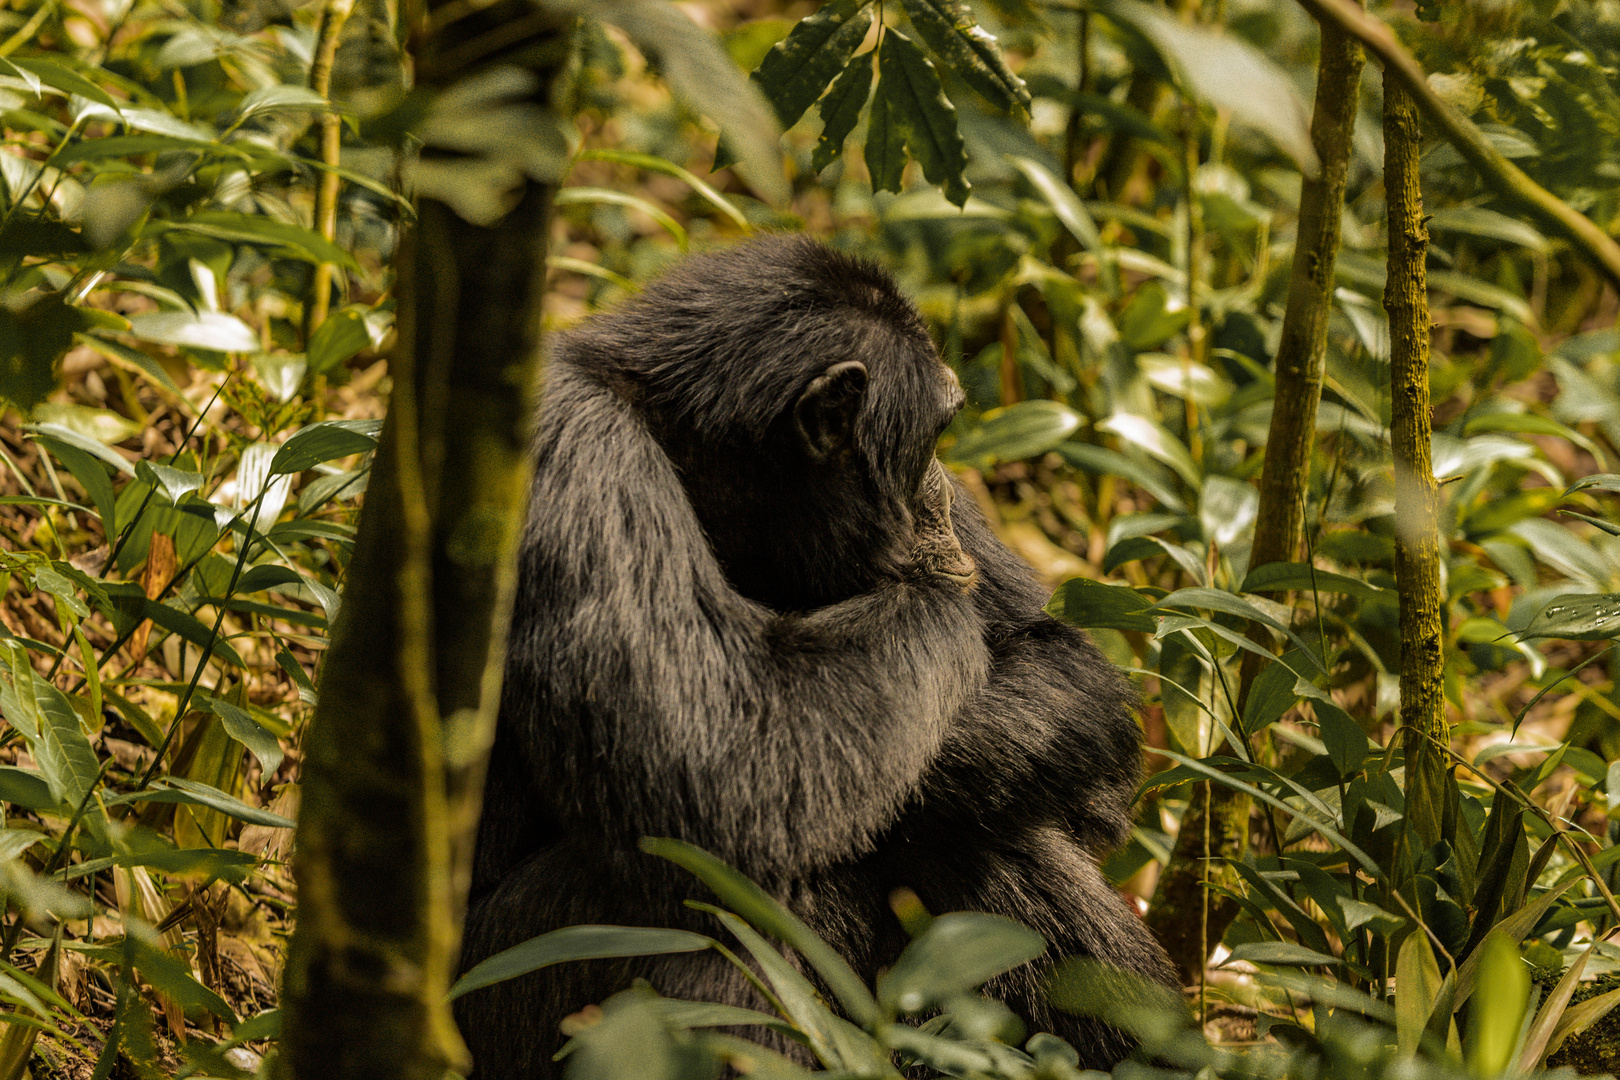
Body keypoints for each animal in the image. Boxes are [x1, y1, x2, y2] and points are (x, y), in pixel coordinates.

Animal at [460, 234, 1179, 1075]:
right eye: (936, 436)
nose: (946, 491)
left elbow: (1060, 666)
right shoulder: (582, 457)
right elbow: (716, 765)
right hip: (500, 1003)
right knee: (713, 896)